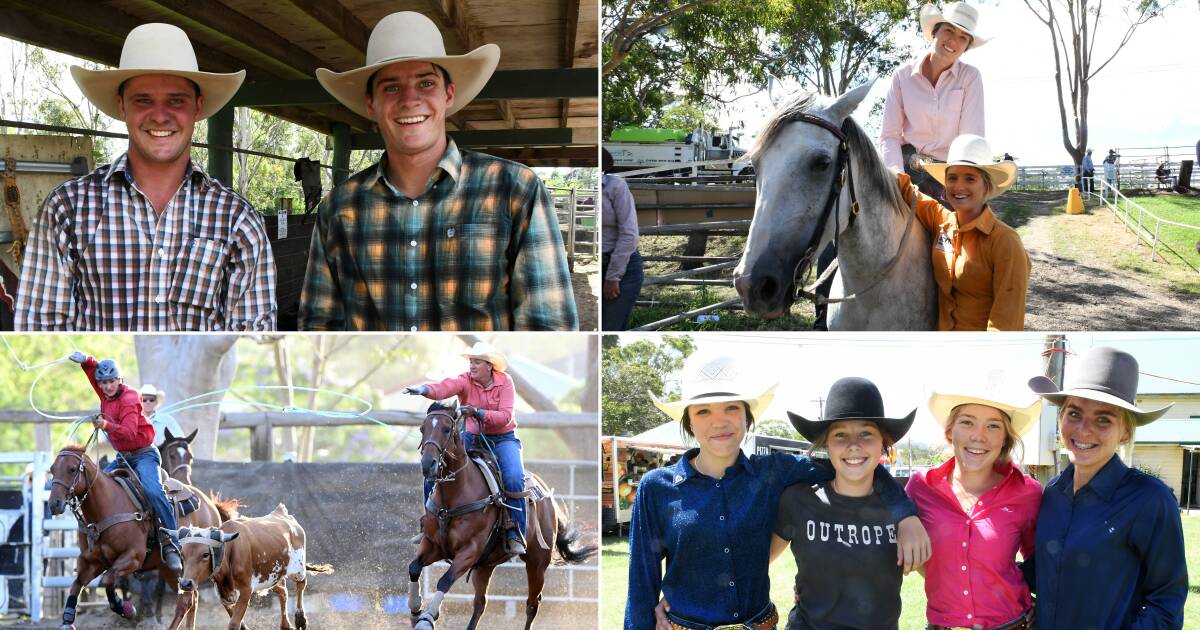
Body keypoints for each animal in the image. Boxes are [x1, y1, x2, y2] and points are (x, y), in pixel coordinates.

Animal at [46, 441, 235, 628]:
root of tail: (210, 505)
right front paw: (67, 622)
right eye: (52, 469)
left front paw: (126, 609)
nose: (54, 503)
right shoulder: (91, 561)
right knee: (189, 599)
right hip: (171, 569)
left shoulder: (133, 558)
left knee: (190, 600)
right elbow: (76, 585)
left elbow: (108, 579)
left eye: (72, 469)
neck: (106, 508)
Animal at [162, 504, 333, 630]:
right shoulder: (224, 594)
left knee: (301, 585)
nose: (185, 584)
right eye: (182, 554)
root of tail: (283, 514)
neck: (230, 552)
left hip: (297, 568)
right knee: (283, 591)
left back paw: (300, 619)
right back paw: (285, 625)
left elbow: (234, 623)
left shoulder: (246, 590)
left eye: (205, 554)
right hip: (272, 577)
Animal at [410, 403, 597, 628]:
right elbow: (414, 568)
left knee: (532, 604)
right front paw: (415, 611)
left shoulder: (469, 551)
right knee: (480, 604)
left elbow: (445, 580)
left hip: (537, 563)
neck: (454, 498)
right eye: (422, 429)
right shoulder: (433, 544)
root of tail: (547, 496)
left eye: (447, 429)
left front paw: (427, 618)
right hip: (485, 566)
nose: (427, 464)